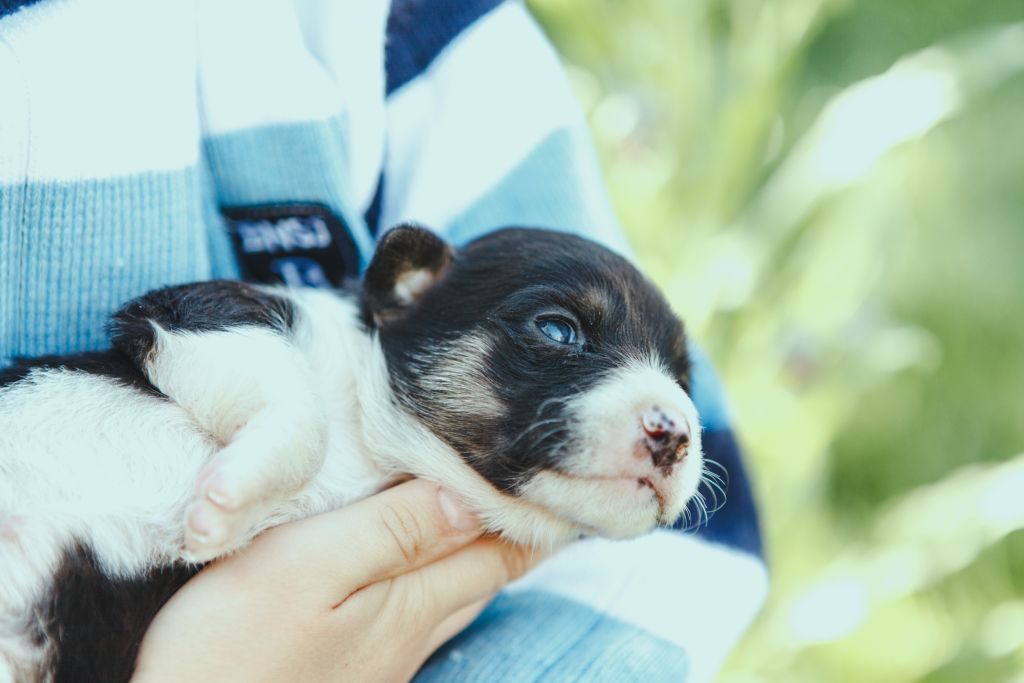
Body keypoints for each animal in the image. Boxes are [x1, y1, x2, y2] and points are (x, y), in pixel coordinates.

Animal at [0, 227, 704, 679]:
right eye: (558, 330)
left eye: (682, 380)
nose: (674, 431)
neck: (373, 443)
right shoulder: (202, 310)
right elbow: (299, 415)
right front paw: (226, 501)